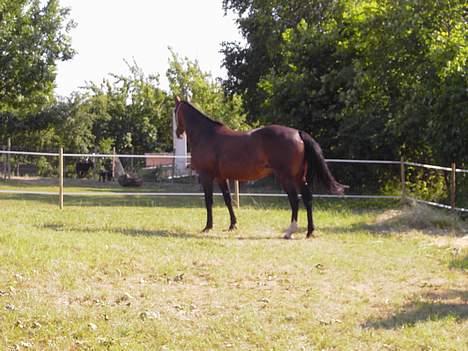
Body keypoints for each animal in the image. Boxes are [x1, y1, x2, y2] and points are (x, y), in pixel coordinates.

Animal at [174, 97, 346, 239]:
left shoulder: (206, 176)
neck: (206, 135)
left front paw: (208, 227)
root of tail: (298, 133)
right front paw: (232, 225)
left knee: (294, 200)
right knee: (307, 198)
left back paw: (290, 231)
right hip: (299, 177)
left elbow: (208, 201)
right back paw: (309, 231)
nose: (178, 134)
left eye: (175, 113)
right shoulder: (221, 177)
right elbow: (228, 200)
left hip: (286, 178)